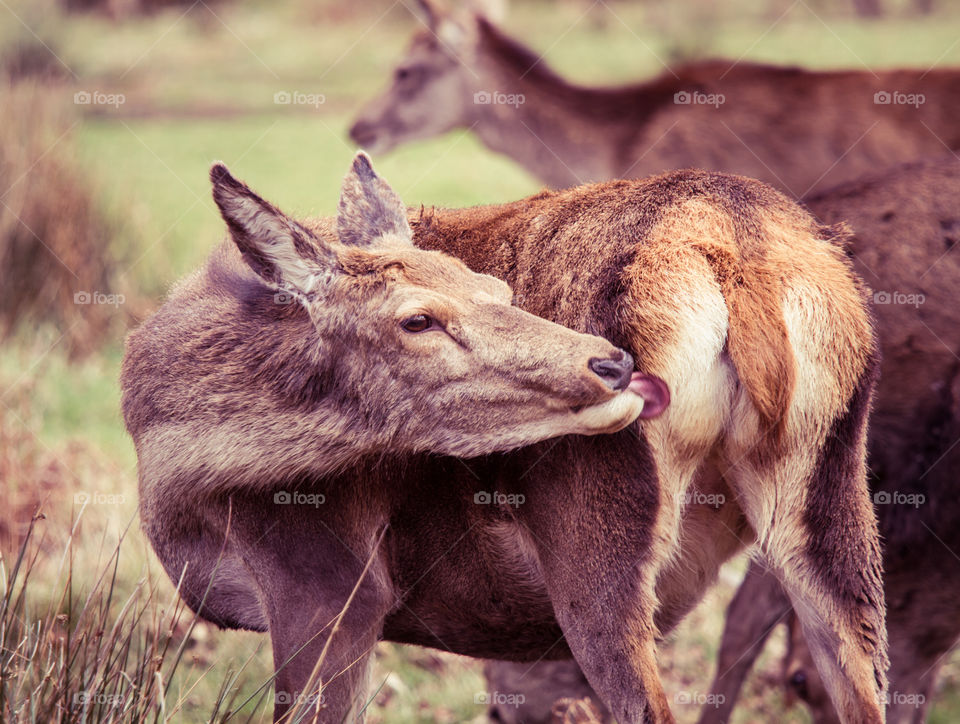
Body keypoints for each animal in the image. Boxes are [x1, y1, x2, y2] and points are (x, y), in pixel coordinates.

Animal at [124, 151, 888, 720]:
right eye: (418, 318)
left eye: (494, 288)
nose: (612, 364)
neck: (177, 479)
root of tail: (735, 248)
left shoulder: (324, 578)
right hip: (835, 500)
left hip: (594, 538)